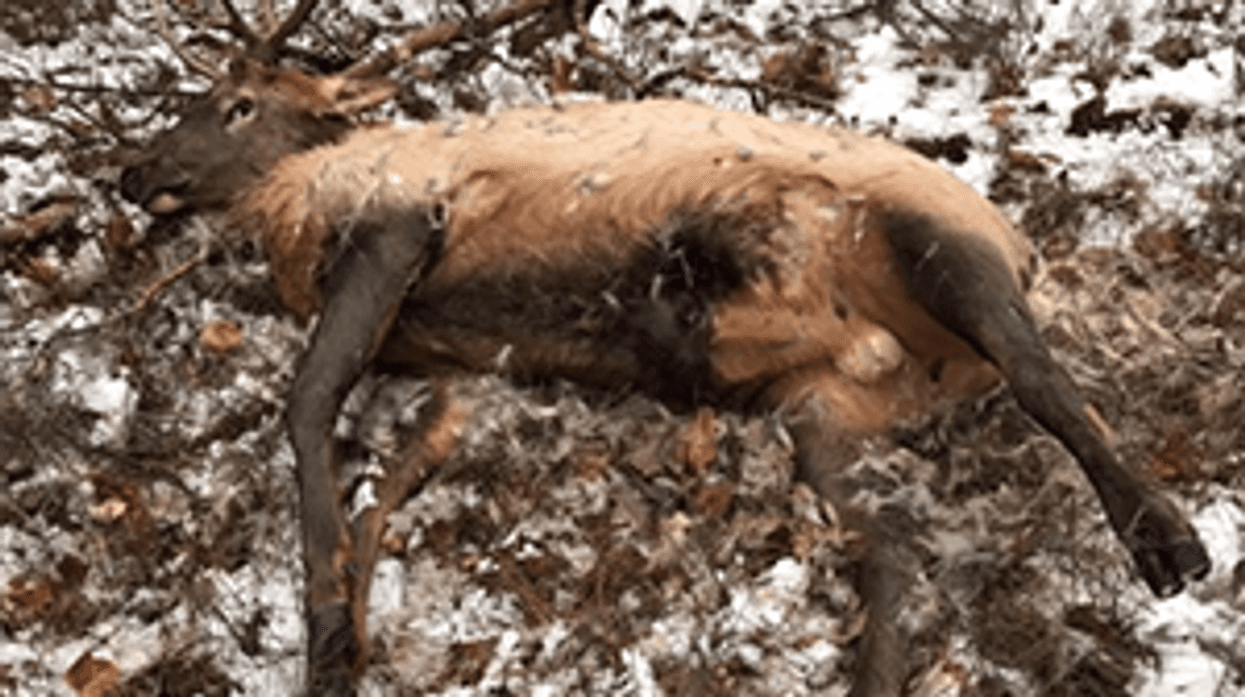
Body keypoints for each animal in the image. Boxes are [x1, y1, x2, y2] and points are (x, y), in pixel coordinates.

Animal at [118, 1, 1211, 695]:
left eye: (237, 104)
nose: (134, 171)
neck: (293, 220)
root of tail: (1026, 250)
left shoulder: (396, 224)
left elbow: (306, 404)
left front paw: (324, 628)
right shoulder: (452, 369)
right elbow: (383, 493)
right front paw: (346, 643)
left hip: (940, 248)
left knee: (1049, 385)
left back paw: (1170, 543)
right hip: (820, 407)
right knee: (892, 548)